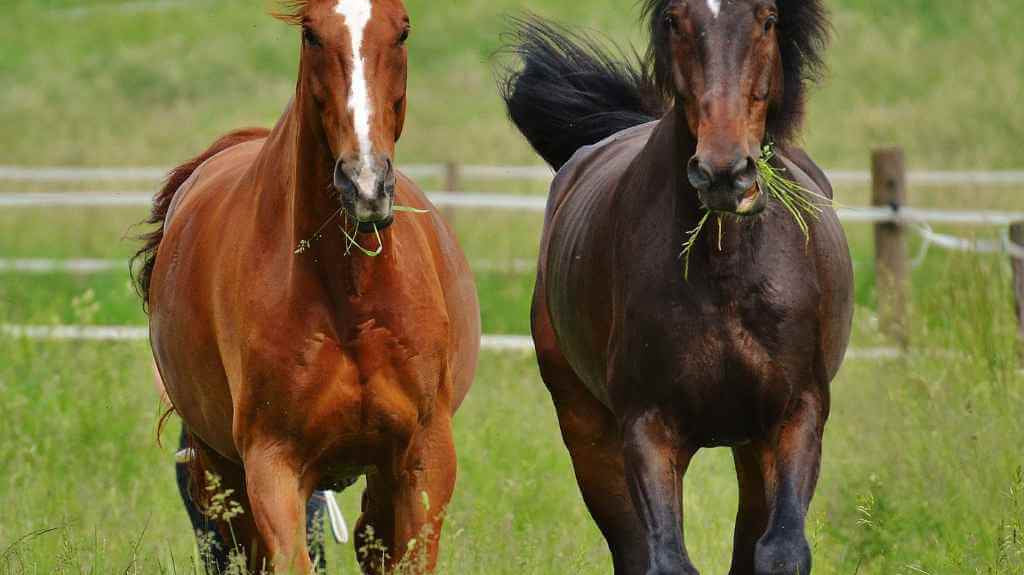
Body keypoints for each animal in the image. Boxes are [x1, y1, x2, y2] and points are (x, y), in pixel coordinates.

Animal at [134, 0, 480, 572]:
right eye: (312, 36)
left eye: (403, 30)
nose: (365, 184)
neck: (350, 298)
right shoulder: (273, 464)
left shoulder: (425, 457)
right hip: (222, 467)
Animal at [501, 1, 851, 573]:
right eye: (673, 20)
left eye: (768, 20)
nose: (724, 173)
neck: (725, 273)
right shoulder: (648, 428)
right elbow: (665, 557)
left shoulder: (795, 414)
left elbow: (780, 549)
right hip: (586, 428)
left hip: (750, 445)